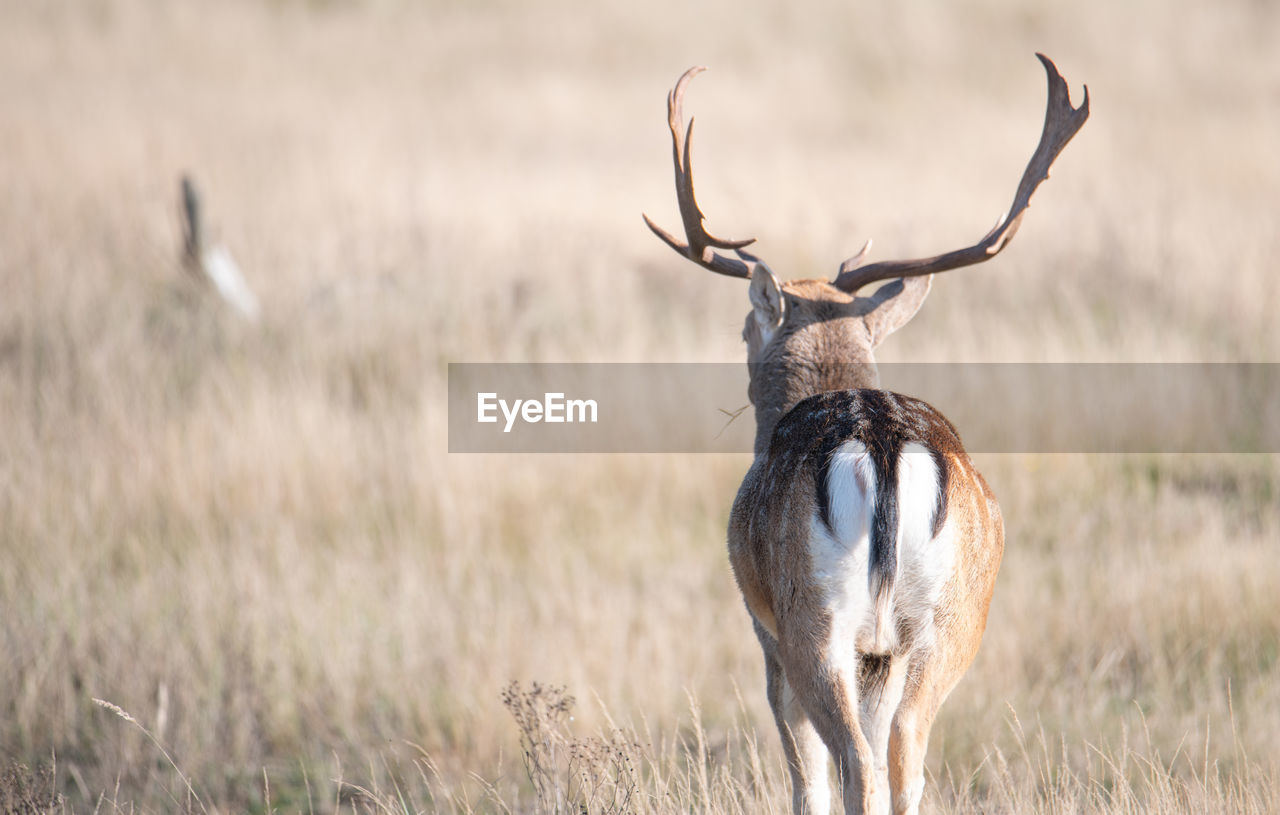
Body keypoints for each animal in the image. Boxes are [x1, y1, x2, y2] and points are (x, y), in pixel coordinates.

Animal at [645, 54, 1085, 808]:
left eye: (745, 327)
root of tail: (881, 444)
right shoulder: (884, 653)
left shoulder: (764, 628)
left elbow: (806, 775)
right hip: (947, 621)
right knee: (905, 748)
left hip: (815, 620)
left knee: (854, 759)